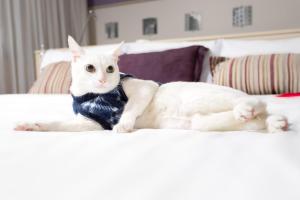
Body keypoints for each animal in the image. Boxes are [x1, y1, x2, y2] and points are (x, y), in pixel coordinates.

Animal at [14, 36, 288, 133]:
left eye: (111, 69)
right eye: (90, 68)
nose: (103, 78)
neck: (94, 97)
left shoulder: (145, 87)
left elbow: (131, 108)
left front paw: (124, 124)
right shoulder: (90, 123)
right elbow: (57, 124)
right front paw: (32, 125)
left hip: (202, 99)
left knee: (258, 102)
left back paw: (250, 108)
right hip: (204, 122)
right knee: (259, 118)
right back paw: (274, 123)